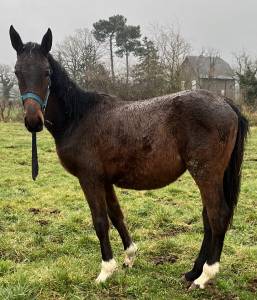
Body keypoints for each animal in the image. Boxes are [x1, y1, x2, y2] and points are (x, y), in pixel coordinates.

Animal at [10, 26, 248, 288]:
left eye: (47, 72)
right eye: (17, 72)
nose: (33, 121)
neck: (78, 117)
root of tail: (225, 102)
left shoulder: (89, 178)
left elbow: (100, 221)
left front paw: (105, 270)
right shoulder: (104, 180)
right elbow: (116, 215)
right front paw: (129, 256)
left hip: (206, 174)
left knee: (218, 215)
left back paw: (205, 275)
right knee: (208, 218)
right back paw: (193, 271)